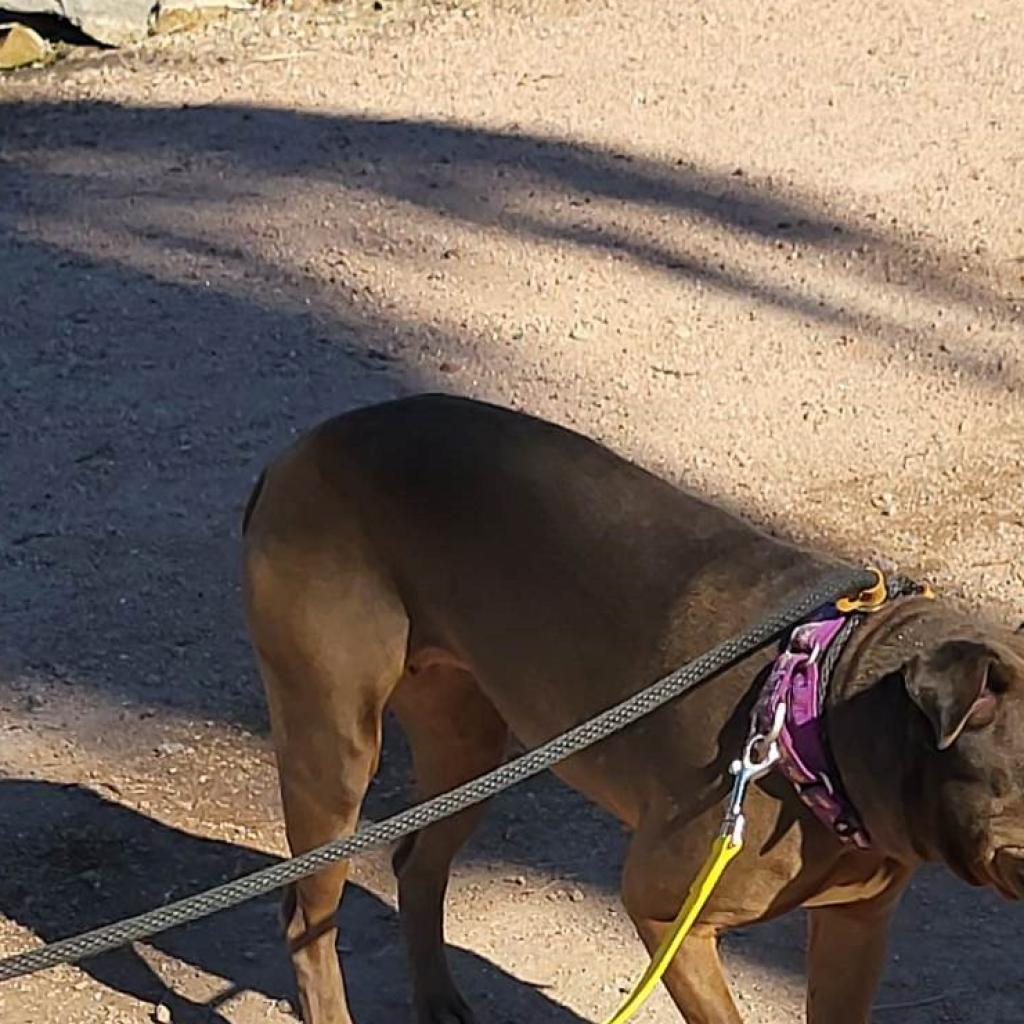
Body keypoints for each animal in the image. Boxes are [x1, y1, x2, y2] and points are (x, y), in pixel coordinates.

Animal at [241, 393, 1024, 1024]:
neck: (826, 716)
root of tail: (298, 450)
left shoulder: (856, 925)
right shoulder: (667, 911)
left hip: (467, 749)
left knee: (415, 864)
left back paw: (439, 1001)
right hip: (334, 748)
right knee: (308, 916)